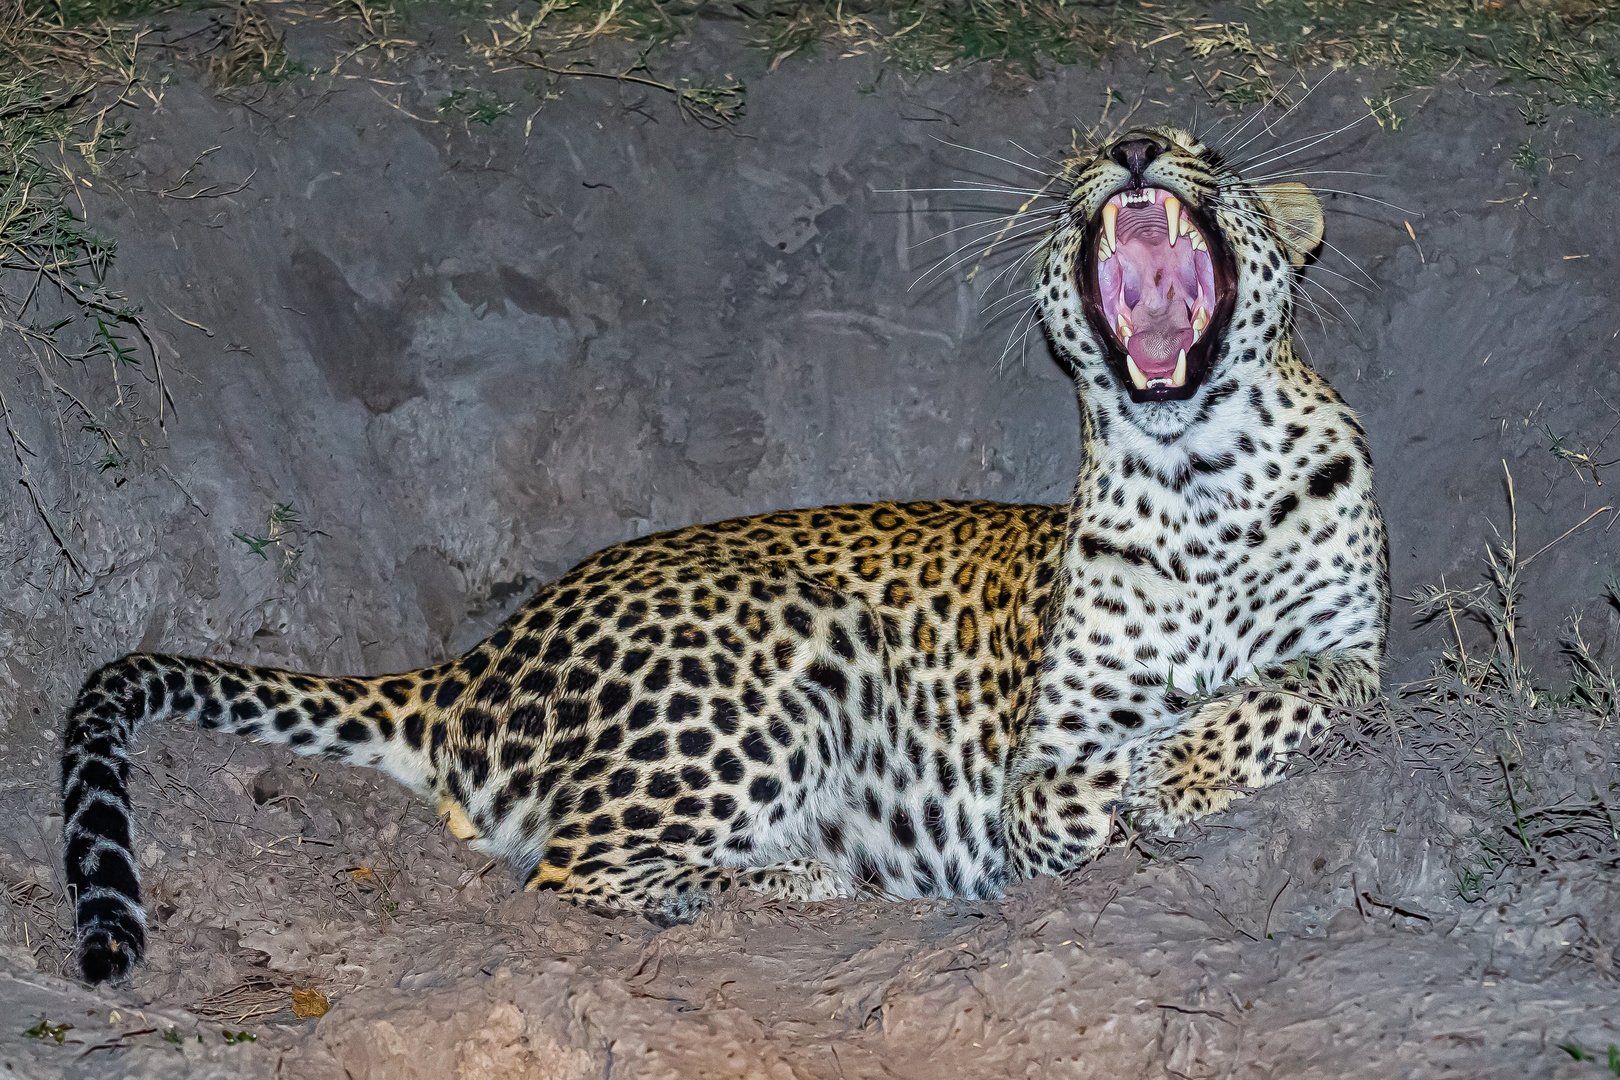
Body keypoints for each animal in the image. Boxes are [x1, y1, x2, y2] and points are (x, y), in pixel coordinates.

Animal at [57, 122, 1386, 984]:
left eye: (1211, 151)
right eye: (1105, 147)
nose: (1135, 146)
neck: (1198, 468)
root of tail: (475, 659)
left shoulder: (1356, 655)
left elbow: (1300, 687)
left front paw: (1180, 768)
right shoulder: (1041, 755)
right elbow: (1072, 784)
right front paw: (1153, 781)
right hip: (789, 650)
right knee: (567, 871)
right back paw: (789, 878)